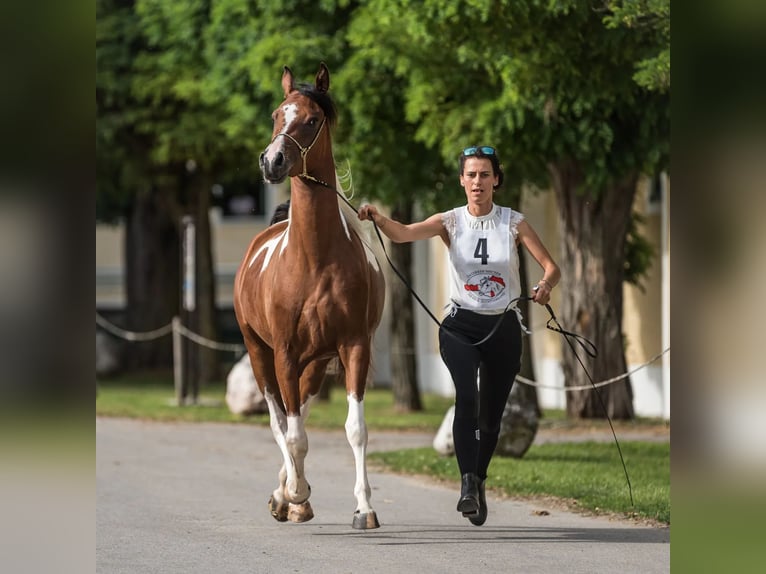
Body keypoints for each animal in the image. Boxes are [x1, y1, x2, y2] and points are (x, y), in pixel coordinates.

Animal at [232, 63, 390, 532]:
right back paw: (290, 495)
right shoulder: (284, 352)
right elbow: (293, 434)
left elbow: (355, 429)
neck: (313, 259)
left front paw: (364, 508)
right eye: (275, 113)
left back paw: (288, 494)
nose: (272, 161)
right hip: (259, 352)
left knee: (295, 411)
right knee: (278, 420)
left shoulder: (353, 347)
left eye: (313, 119)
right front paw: (296, 494)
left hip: (316, 363)